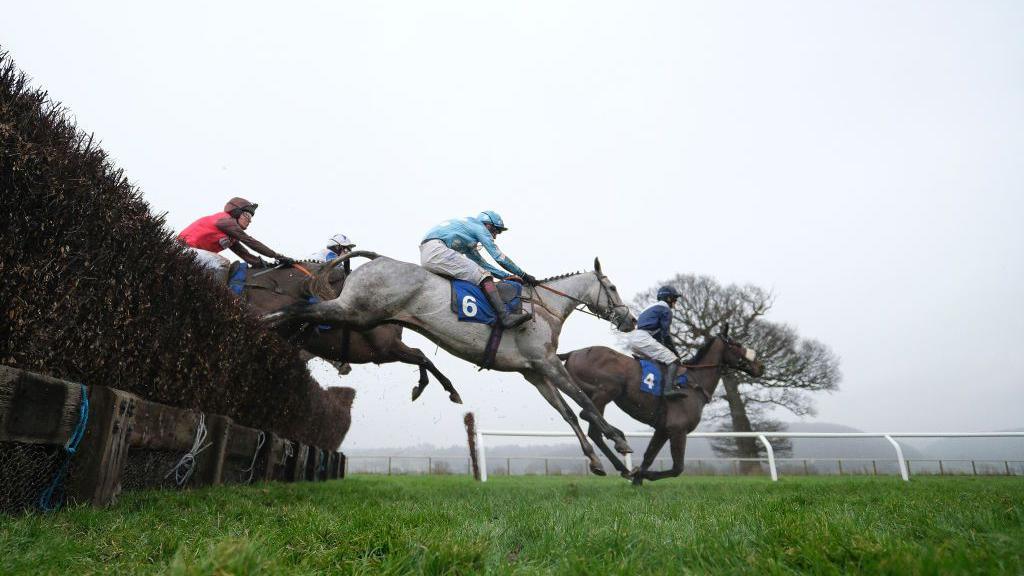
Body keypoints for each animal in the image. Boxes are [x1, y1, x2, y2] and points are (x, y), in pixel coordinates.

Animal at [235, 258, 460, 401]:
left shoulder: (386, 351)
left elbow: (420, 356)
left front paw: (424, 387)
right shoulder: (386, 349)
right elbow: (422, 357)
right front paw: (446, 389)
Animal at [264, 253, 634, 473]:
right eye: (613, 287)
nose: (629, 320)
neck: (545, 309)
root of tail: (374, 259)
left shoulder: (533, 372)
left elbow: (568, 412)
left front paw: (596, 459)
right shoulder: (546, 362)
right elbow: (585, 403)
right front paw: (619, 439)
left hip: (358, 315)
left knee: (308, 316)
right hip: (357, 311)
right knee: (301, 310)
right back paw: (265, 323)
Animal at [557, 325, 765, 481]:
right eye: (737, 344)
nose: (760, 367)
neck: (694, 382)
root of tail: (573, 353)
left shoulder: (663, 430)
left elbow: (649, 457)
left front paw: (638, 478)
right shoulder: (678, 429)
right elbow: (677, 468)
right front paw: (641, 474)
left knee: (592, 425)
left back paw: (620, 462)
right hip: (607, 389)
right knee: (590, 418)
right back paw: (619, 443)